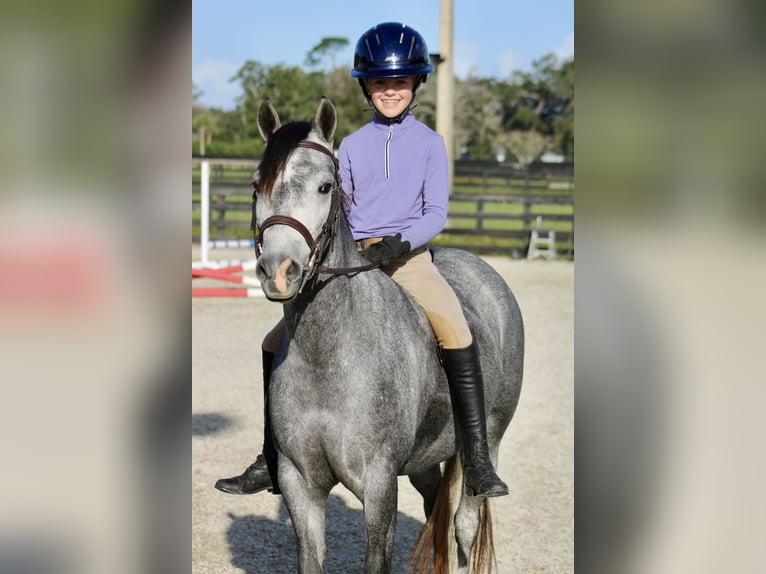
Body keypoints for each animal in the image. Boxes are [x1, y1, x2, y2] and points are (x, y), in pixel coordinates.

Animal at [249, 97, 524, 572]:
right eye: (255, 186)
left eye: (325, 187)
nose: (279, 272)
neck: (328, 354)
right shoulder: (299, 485)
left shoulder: (378, 486)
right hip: (423, 461)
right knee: (436, 510)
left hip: (488, 441)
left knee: (464, 524)